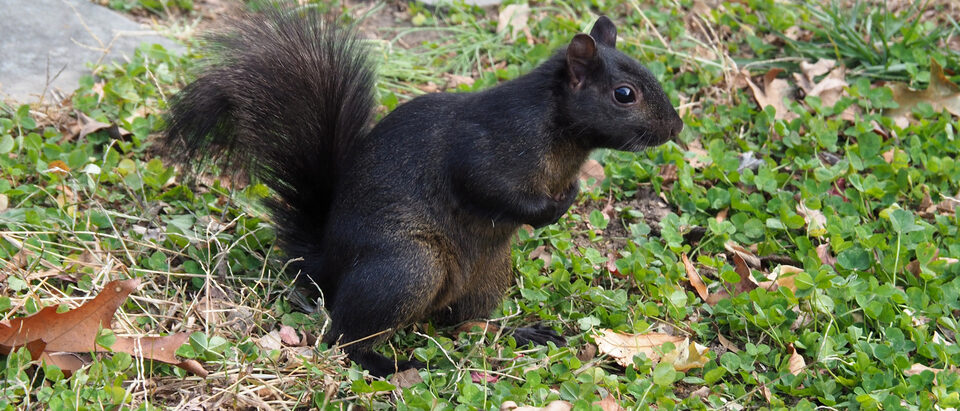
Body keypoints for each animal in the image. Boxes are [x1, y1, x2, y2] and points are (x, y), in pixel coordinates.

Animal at [163, 8, 683, 377]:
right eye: (623, 94)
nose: (676, 127)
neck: (562, 133)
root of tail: (325, 266)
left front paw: (571, 194)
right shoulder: (485, 149)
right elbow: (488, 188)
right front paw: (549, 209)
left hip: (487, 276)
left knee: (463, 322)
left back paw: (521, 333)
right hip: (408, 267)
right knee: (345, 339)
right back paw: (389, 364)